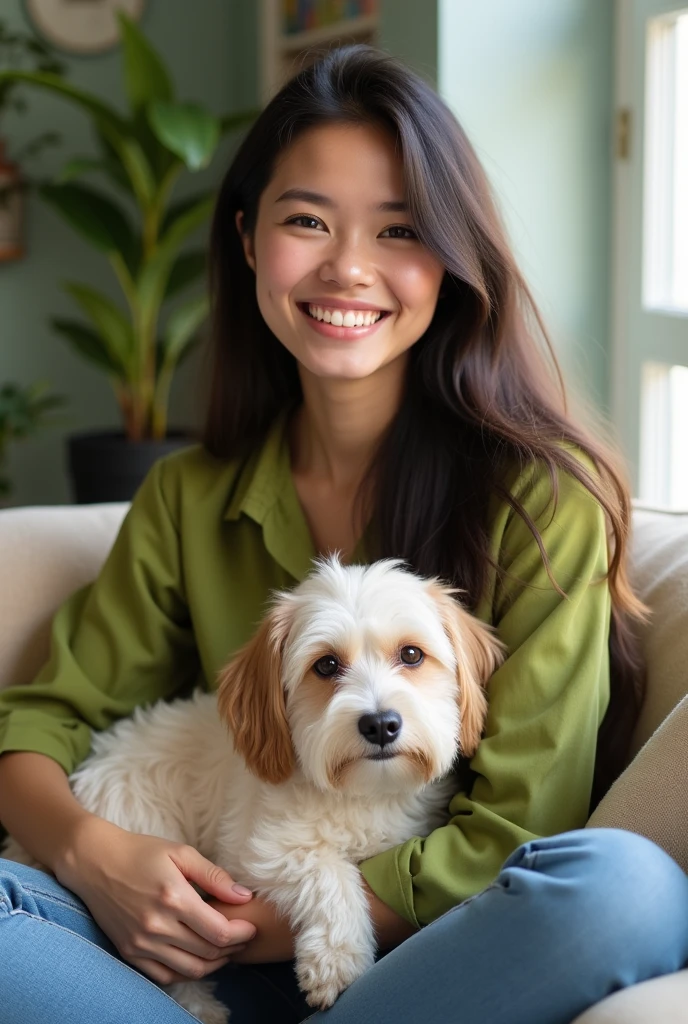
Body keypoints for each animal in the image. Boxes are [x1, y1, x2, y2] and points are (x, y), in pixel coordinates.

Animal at [2, 557, 501, 1019]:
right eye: (326, 665)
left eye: (412, 655)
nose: (380, 723)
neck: (362, 793)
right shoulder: (261, 852)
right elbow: (330, 872)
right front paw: (336, 960)